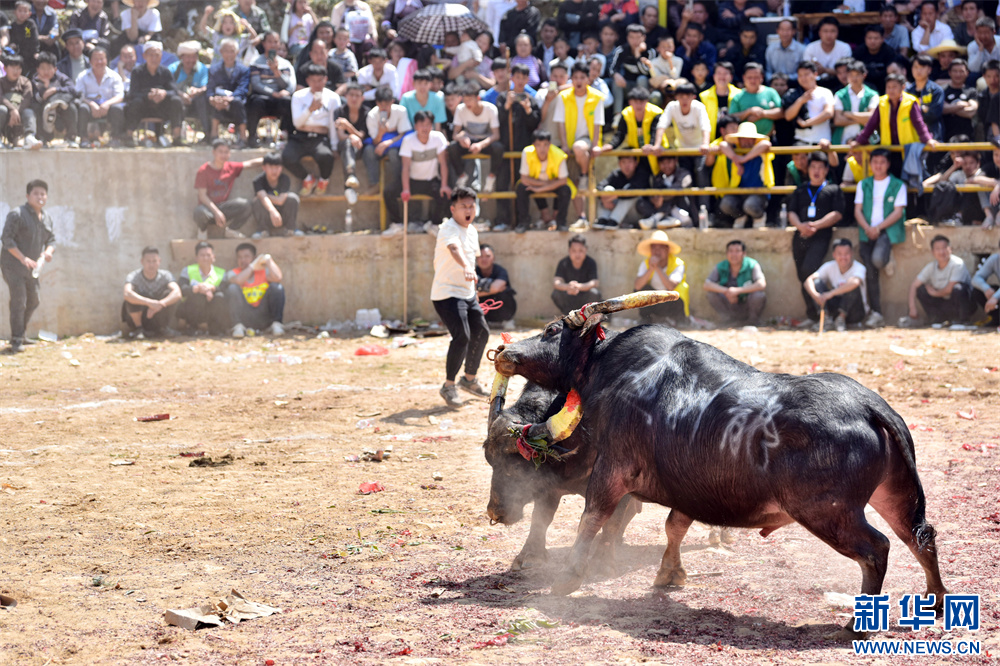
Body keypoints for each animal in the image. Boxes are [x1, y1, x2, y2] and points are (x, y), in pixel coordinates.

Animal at [484, 378, 640, 572]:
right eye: (490, 460)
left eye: (516, 467)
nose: (494, 513)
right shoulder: (549, 485)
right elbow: (541, 517)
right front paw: (530, 555)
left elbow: (613, 521)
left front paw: (603, 561)